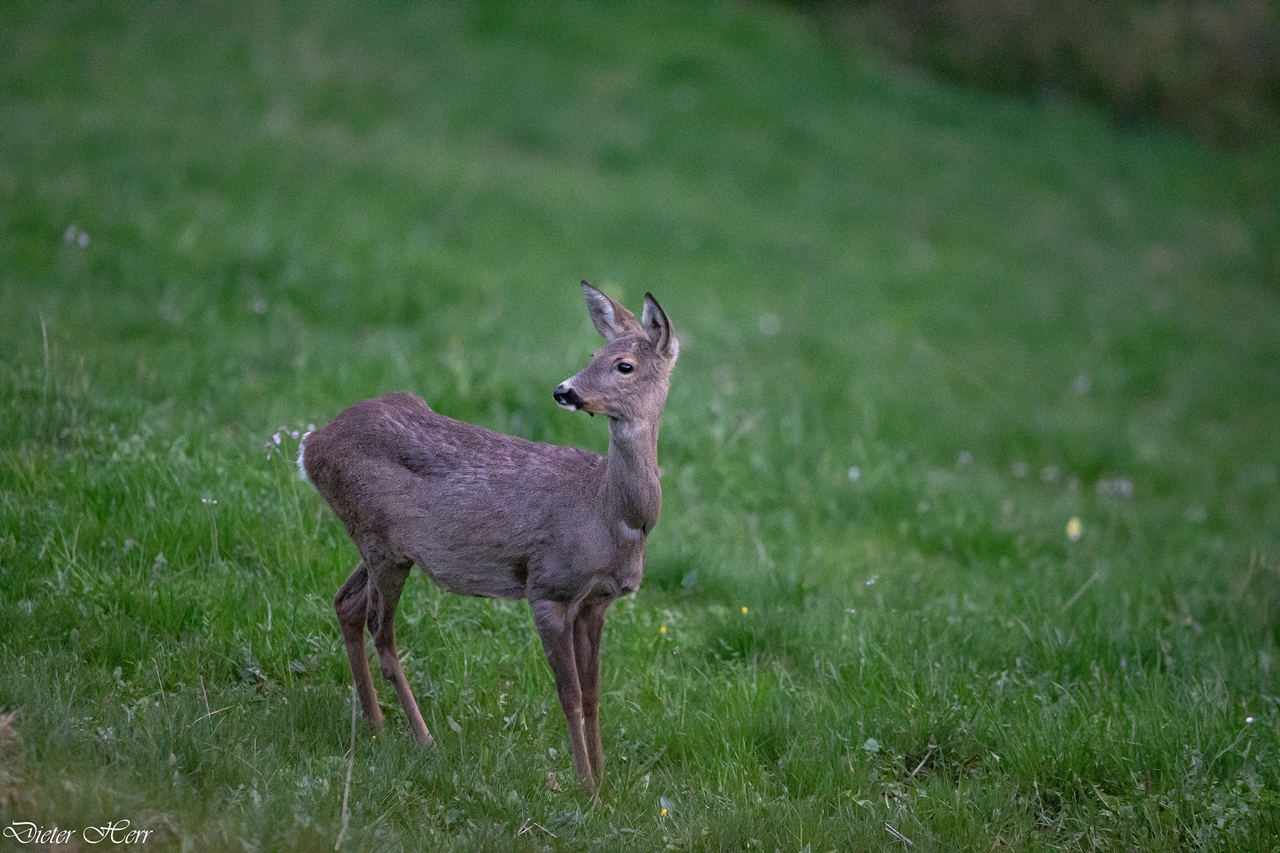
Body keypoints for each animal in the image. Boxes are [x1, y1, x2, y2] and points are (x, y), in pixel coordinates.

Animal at [299, 280, 680, 788]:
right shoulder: (548, 586)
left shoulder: (596, 601)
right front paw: (583, 785)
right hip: (381, 542)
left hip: (381, 544)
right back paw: (423, 739)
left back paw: (376, 726)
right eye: (594, 353)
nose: (564, 391)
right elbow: (569, 695)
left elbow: (594, 694)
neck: (608, 512)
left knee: (348, 603)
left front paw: (602, 780)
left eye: (624, 365)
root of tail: (311, 445)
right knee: (382, 629)